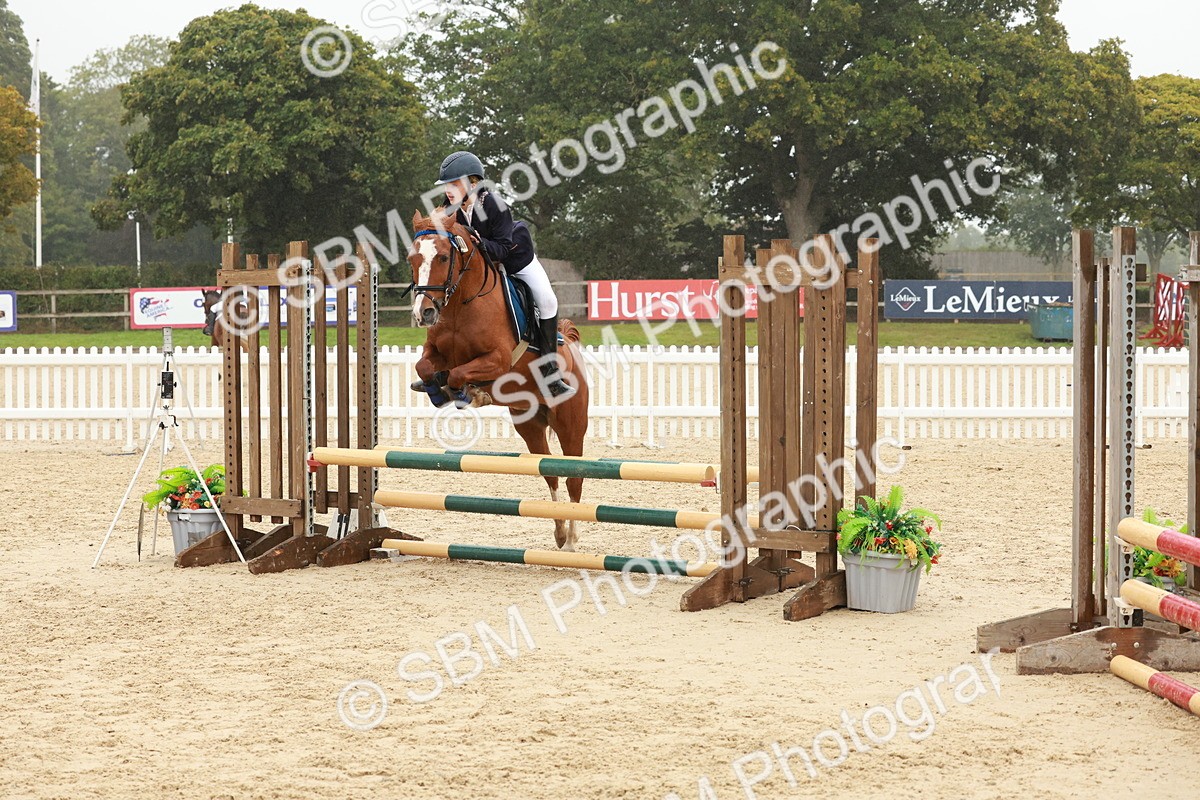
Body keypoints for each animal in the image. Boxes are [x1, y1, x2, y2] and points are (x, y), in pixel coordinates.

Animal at [407, 209, 591, 550]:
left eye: (442, 257)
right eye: (413, 258)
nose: (423, 313)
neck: (460, 304)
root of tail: (571, 345)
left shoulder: (498, 360)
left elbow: (459, 373)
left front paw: (471, 394)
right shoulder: (435, 353)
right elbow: (425, 367)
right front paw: (440, 392)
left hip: (570, 424)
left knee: (574, 476)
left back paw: (572, 540)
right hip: (529, 425)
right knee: (550, 473)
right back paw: (559, 534)